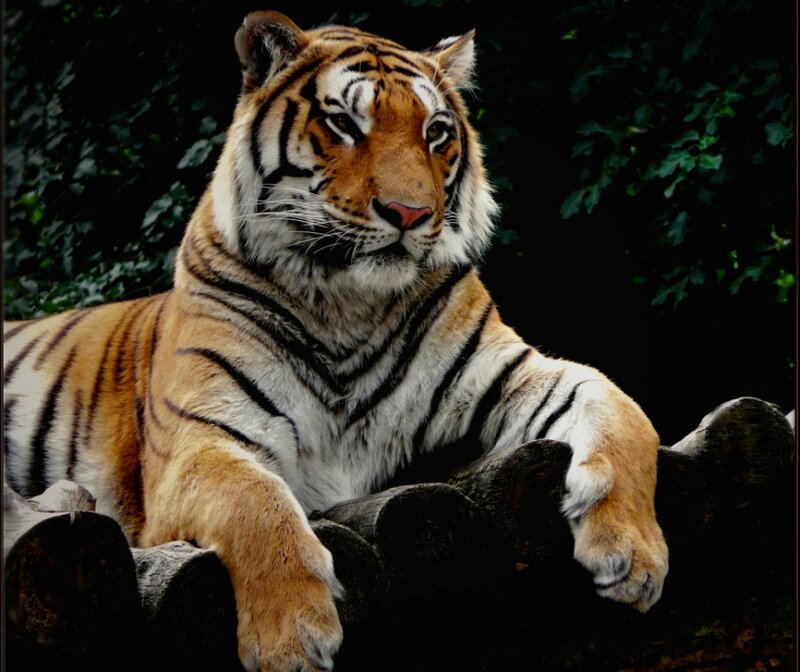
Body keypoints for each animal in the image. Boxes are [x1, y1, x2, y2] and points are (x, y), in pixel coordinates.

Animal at [3, 10, 669, 672]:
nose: (409, 213)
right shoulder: (199, 439)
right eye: (345, 123)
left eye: (435, 132)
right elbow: (253, 499)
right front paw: (292, 636)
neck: (347, 303)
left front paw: (634, 555)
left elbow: (621, 409)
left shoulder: (509, 372)